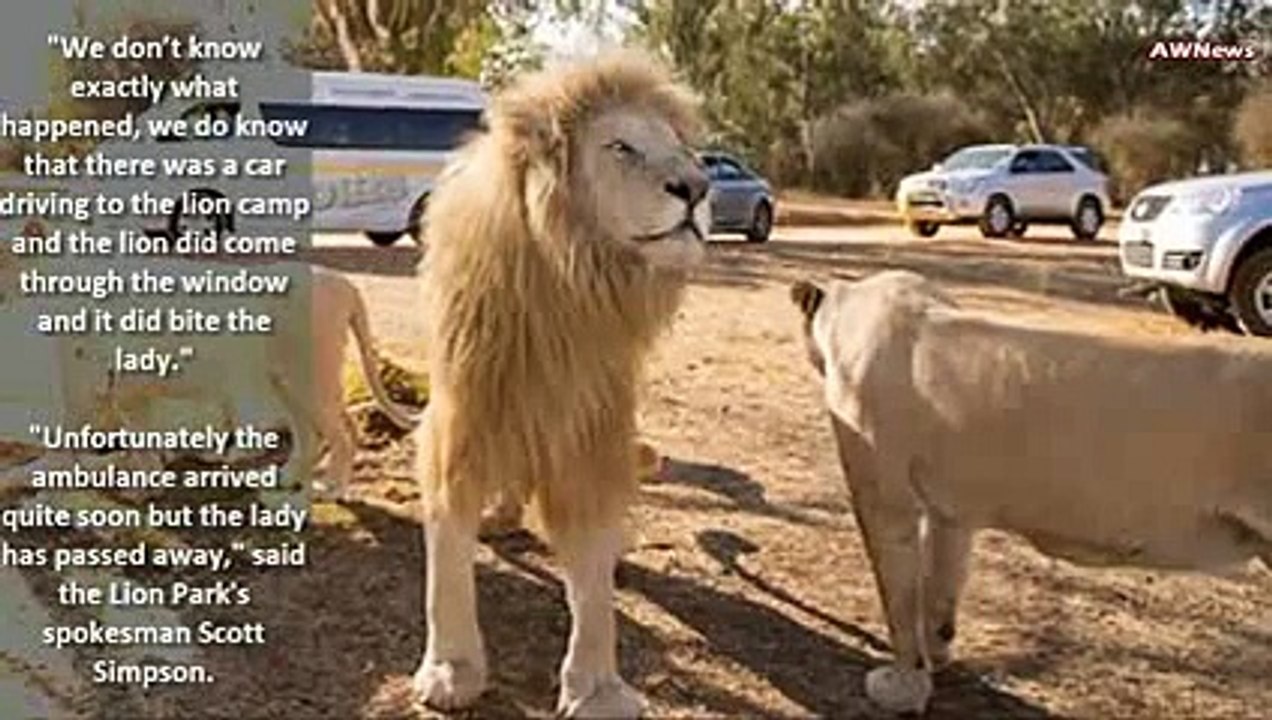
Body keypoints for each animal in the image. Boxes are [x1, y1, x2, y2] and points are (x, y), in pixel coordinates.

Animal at [413, 51, 708, 717]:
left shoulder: (591, 433)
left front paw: (597, 688)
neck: (569, 290)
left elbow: (593, 577)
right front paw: (452, 670)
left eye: (681, 147)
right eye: (621, 146)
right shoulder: (463, 419)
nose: (699, 188)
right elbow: (448, 561)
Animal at [791, 270, 1272, 714]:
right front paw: (939, 653)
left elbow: (899, 599)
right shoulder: (952, 512)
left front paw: (902, 685)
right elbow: (940, 584)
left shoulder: (885, 500)